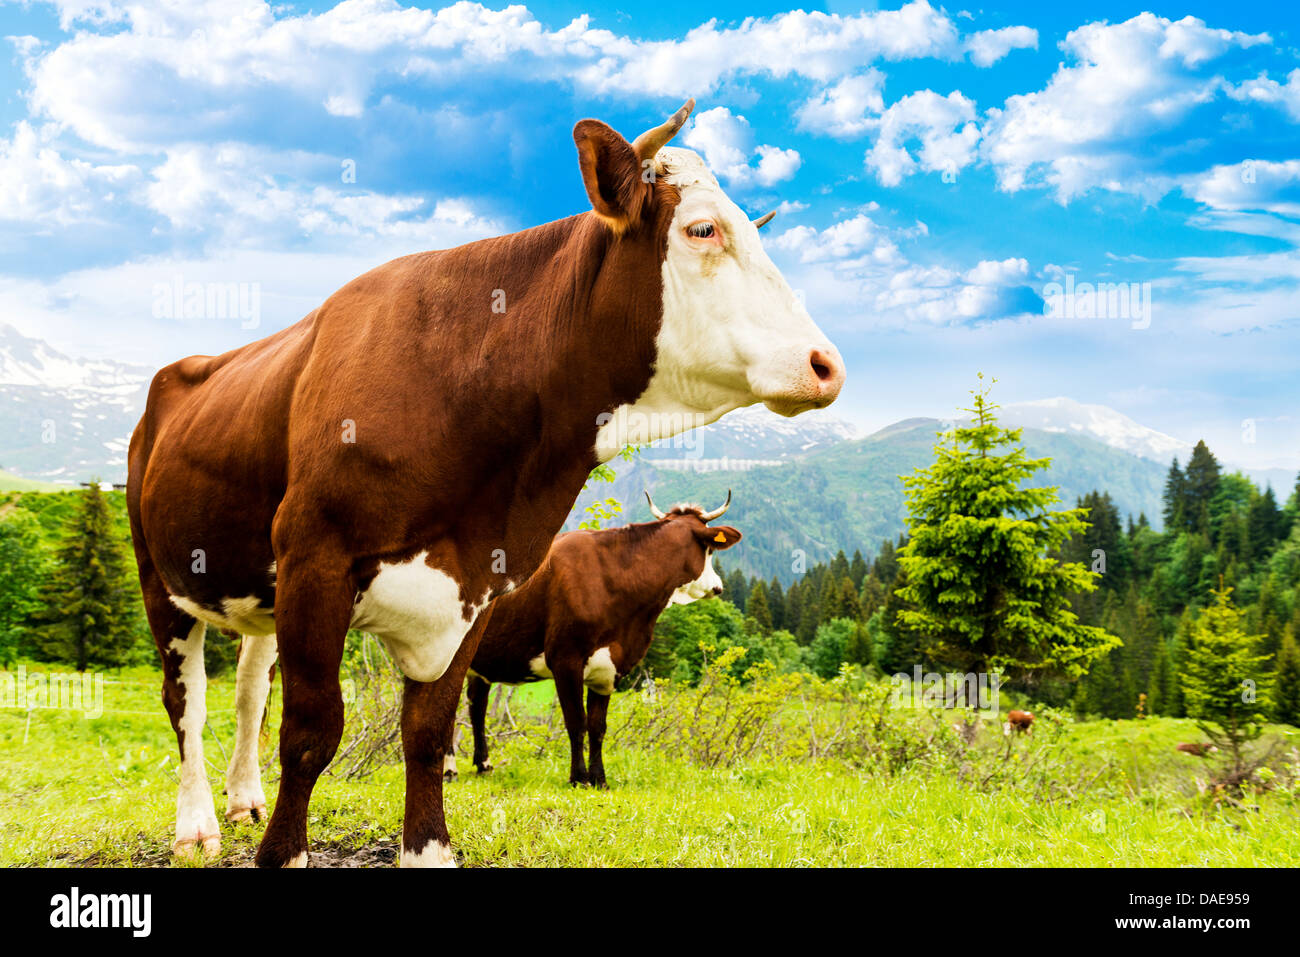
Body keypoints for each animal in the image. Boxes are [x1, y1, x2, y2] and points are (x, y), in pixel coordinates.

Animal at [445, 491, 740, 788]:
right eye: (710, 551)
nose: (718, 586)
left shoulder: (610, 667)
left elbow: (598, 726)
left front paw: (600, 779)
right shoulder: (565, 660)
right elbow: (577, 723)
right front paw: (578, 777)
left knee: (477, 705)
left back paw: (484, 764)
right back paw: (449, 769)